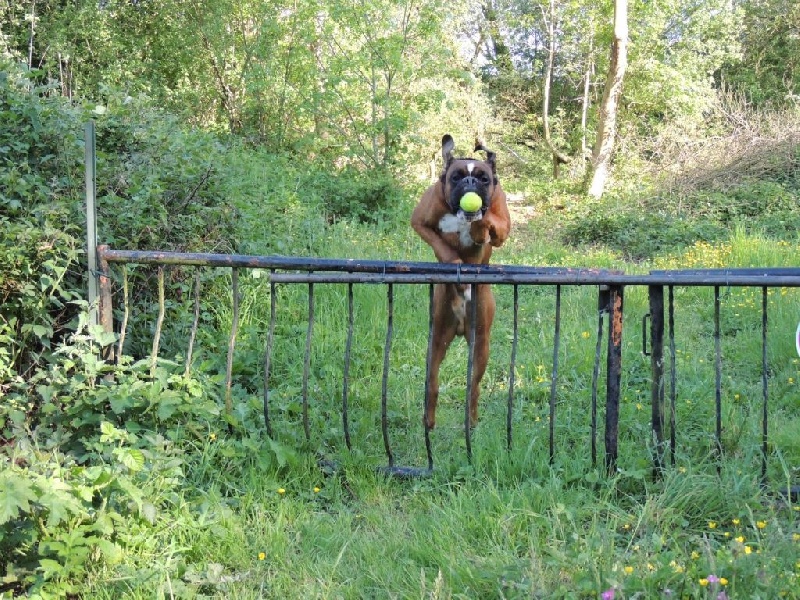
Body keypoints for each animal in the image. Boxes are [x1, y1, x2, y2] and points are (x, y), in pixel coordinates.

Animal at [412, 135, 512, 432]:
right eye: (456, 177)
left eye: (484, 178)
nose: (469, 183)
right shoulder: (420, 221)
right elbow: (440, 243)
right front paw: (453, 259)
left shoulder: (502, 225)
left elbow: (490, 223)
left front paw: (478, 227)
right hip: (436, 341)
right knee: (432, 383)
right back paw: (429, 420)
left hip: (480, 345)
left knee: (473, 389)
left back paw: (471, 420)